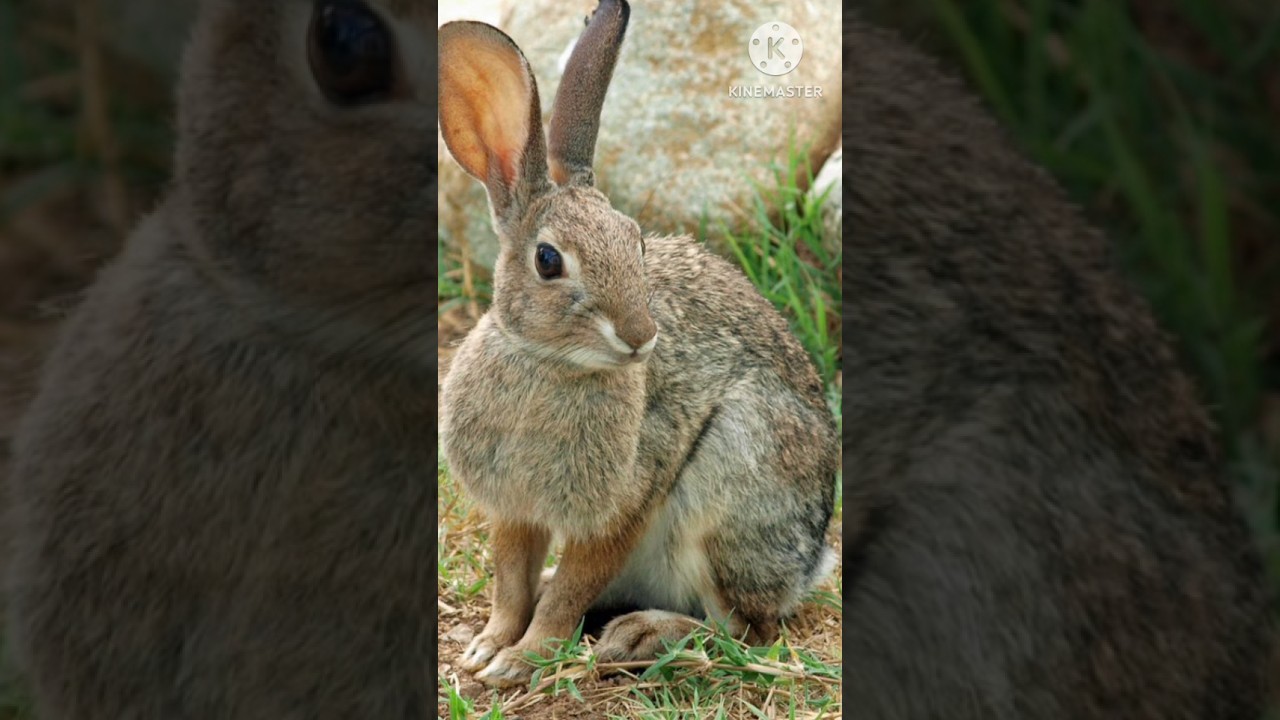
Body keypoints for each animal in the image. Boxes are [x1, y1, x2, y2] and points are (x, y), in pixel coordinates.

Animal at [437, 0, 839, 688]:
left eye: (637, 244)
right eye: (548, 260)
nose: (640, 336)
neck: (547, 362)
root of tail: (808, 566)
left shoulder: (624, 502)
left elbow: (572, 588)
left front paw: (524, 658)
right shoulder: (514, 510)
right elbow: (511, 581)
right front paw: (489, 648)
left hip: (735, 475)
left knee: (744, 629)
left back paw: (643, 635)